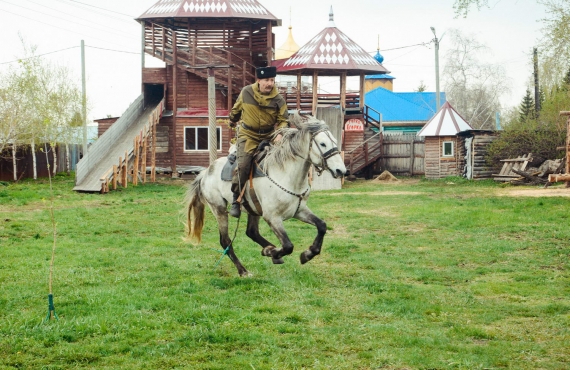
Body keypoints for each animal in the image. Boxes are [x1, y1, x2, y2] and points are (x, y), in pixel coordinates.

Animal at [186, 111, 346, 276]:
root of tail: (205, 173)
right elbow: (288, 246)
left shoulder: (299, 211)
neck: (286, 175)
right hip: (219, 209)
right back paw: (244, 270)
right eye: (323, 144)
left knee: (252, 232)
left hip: (253, 209)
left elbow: (322, 226)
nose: (341, 170)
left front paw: (307, 254)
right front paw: (273, 252)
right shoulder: (272, 218)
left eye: (334, 141)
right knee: (225, 241)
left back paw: (270, 251)